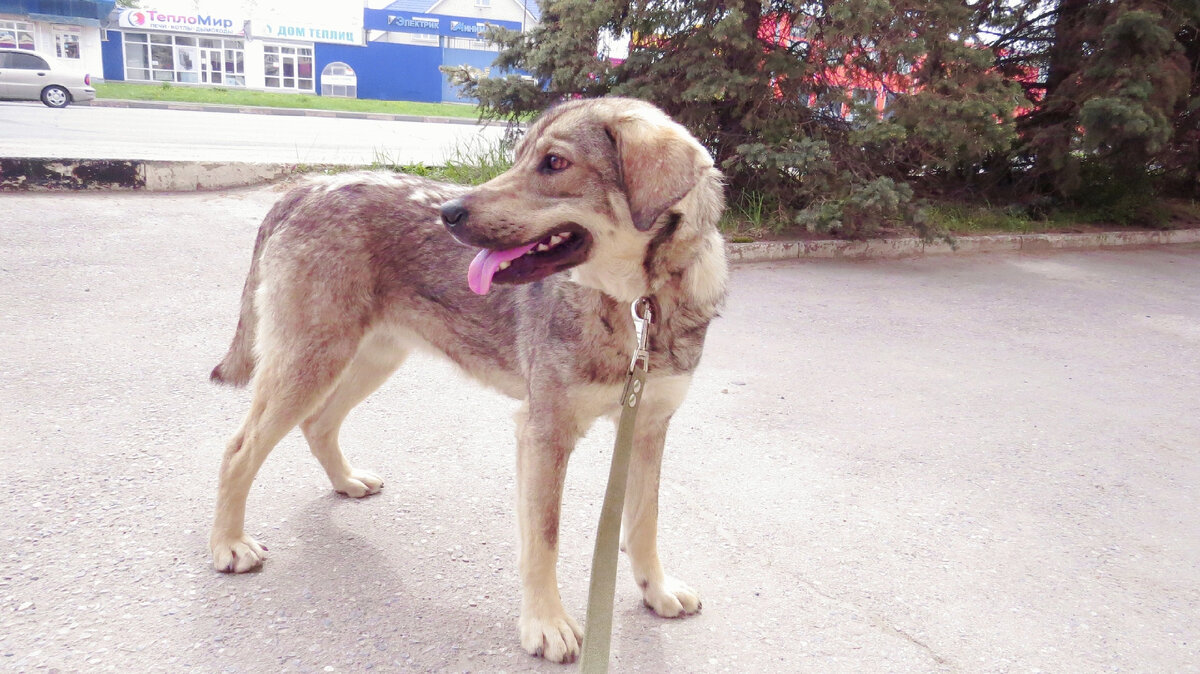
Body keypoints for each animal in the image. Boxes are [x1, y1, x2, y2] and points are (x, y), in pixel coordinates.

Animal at [210, 95, 724, 662]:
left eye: (555, 163)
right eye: (520, 158)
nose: (449, 214)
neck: (639, 306)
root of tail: (308, 187)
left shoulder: (648, 426)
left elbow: (644, 520)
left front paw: (657, 590)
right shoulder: (544, 432)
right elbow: (544, 538)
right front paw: (545, 623)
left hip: (366, 361)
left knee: (318, 425)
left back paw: (345, 482)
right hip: (311, 364)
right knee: (238, 449)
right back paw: (228, 545)